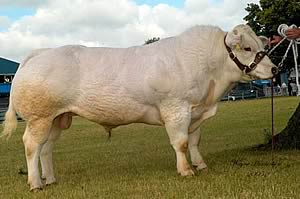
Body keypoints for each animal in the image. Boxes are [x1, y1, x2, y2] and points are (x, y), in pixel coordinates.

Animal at [0, 24, 276, 190]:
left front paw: (201, 165)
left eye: (263, 46)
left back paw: (50, 179)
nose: (275, 69)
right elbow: (181, 142)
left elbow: (195, 141)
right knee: (31, 145)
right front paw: (186, 170)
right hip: (40, 117)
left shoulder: (195, 111)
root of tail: (40, 52)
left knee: (46, 148)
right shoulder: (176, 108)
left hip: (58, 117)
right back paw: (36, 183)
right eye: (248, 48)